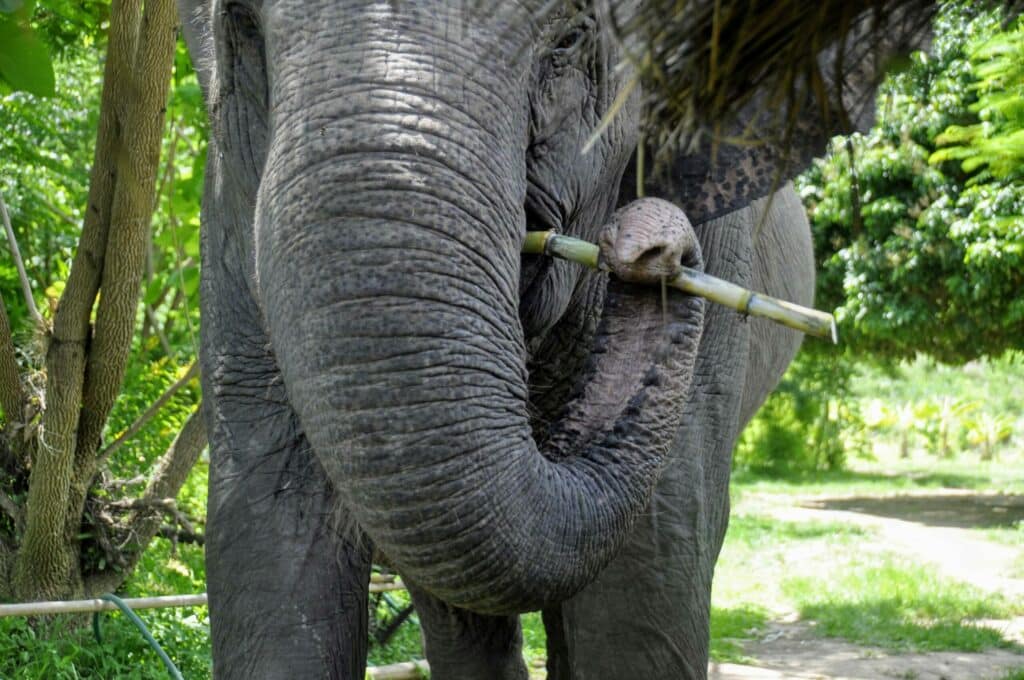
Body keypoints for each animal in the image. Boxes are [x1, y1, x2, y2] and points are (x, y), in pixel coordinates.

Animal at [180, 1, 933, 680]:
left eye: (570, 37)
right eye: (241, 26)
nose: (655, 248)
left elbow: (651, 563)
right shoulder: (231, 203)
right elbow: (268, 528)